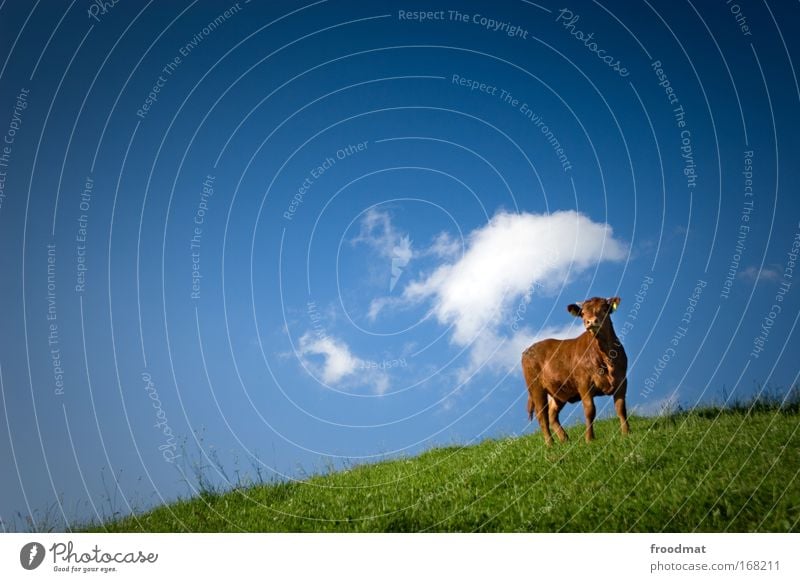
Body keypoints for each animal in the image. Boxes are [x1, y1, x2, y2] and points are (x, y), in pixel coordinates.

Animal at [520, 298, 628, 444]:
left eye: (605, 308)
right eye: (582, 313)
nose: (591, 322)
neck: (606, 356)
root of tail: (528, 349)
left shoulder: (622, 380)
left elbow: (621, 408)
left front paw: (626, 433)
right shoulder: (584, 384)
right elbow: (590, 410)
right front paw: (589, 439)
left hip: (558, 391)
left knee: (552, 414)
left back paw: (564, 440)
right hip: (536, 388)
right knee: (542, 415)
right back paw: (550, 444)